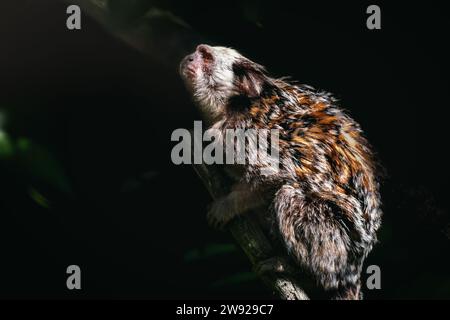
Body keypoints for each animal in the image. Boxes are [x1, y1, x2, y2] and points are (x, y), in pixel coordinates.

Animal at [180, 44, 384, 300]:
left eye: (206, 56)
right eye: (196, 53)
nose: (189, 58)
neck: (235, 106)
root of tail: (352, 272)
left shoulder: (242, 134)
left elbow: (275, 175)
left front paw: (226, 206)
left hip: (334, 245)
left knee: (289, 196)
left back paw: (297, 270)